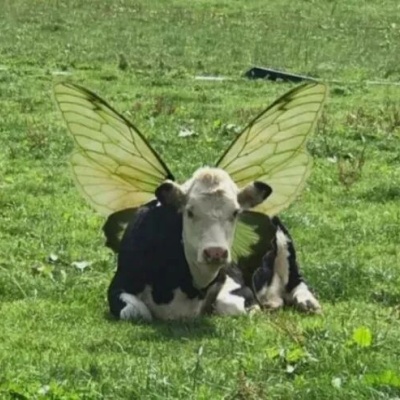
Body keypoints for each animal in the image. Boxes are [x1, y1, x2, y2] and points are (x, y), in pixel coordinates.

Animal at [107, 167, 320, 321]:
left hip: (285, 242)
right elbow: (135, 312)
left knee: (296, 281)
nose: (215, 252)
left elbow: (232, 304)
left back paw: (307, 302)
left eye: (235, 212)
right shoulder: (119, 284)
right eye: (189, 212)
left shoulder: (237, 282)